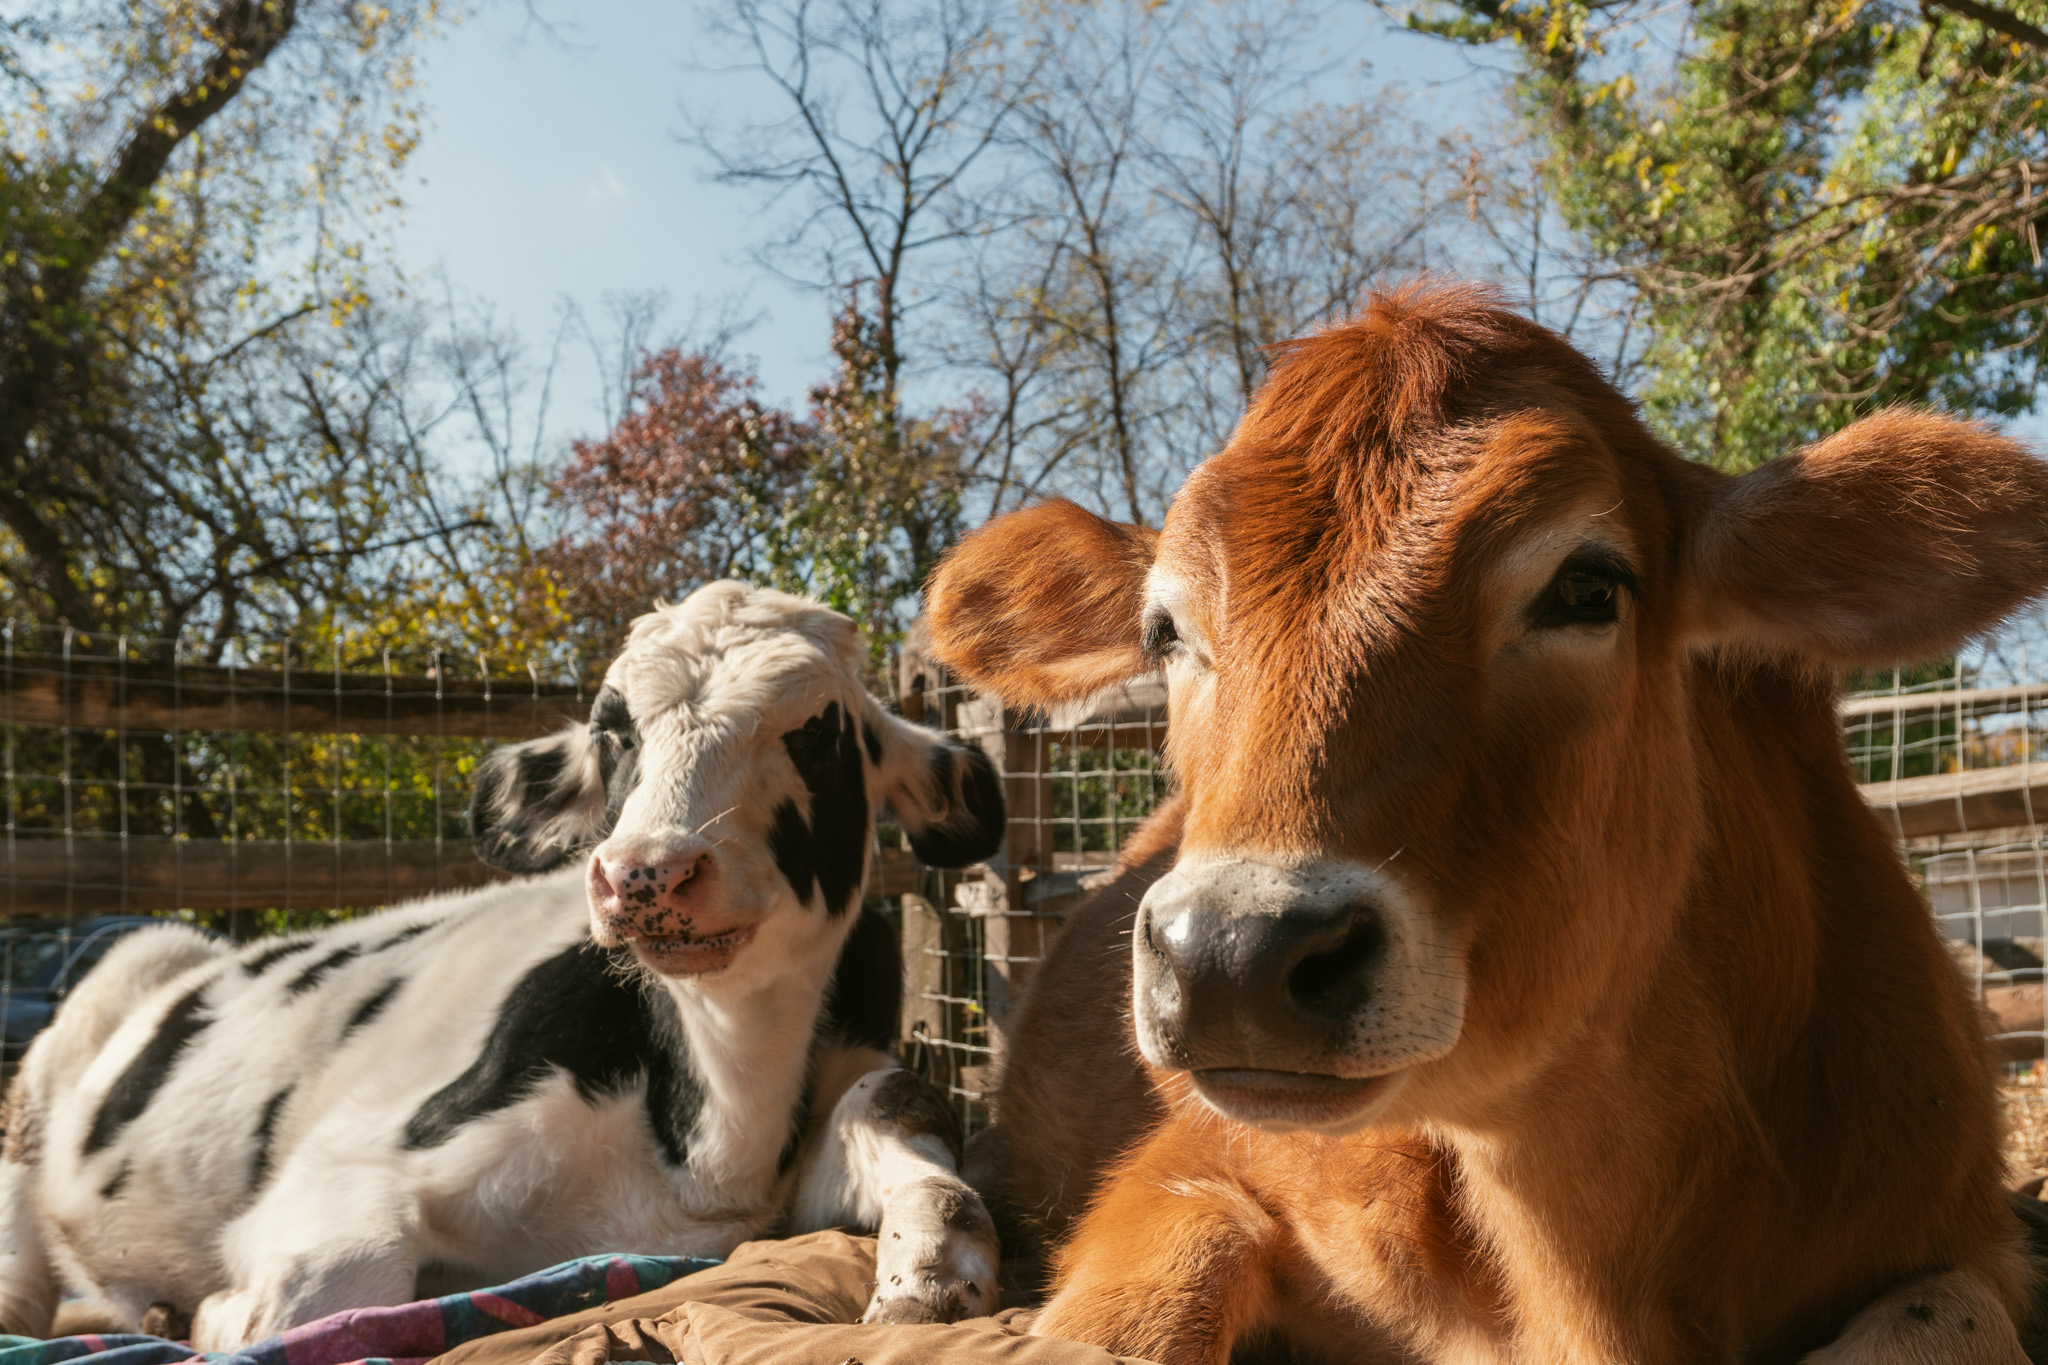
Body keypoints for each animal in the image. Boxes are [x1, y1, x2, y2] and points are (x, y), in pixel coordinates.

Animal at [0, 582, 1006, 1349]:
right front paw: (221, 1315)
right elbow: (337, 1279)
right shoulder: (347, 1163)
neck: (714, 1135)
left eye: (817, 733)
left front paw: (931, 1269)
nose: (645, 871)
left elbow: (905, 1107)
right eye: (613, 732)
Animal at [924, 282, 2048, 1364]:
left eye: (1587, 585)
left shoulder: (1965, 1236)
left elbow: (1944, 1318)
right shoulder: (1185, 1170)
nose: (1232, 954)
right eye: (1163, 630)